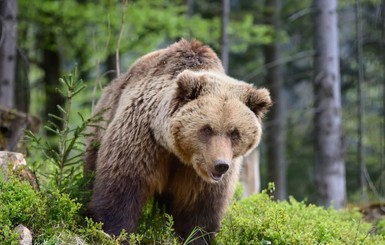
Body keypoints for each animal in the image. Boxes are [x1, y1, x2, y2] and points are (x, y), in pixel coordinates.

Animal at [85, 39, 272, 244]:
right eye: (207, 129)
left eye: (234, 133)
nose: (220, 165)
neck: (178, 152)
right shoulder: (143, 141)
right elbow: (122, 189)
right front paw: (113, 232)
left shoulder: (201, 177)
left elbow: (199, 211)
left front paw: (193, 236)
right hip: (100, 124)